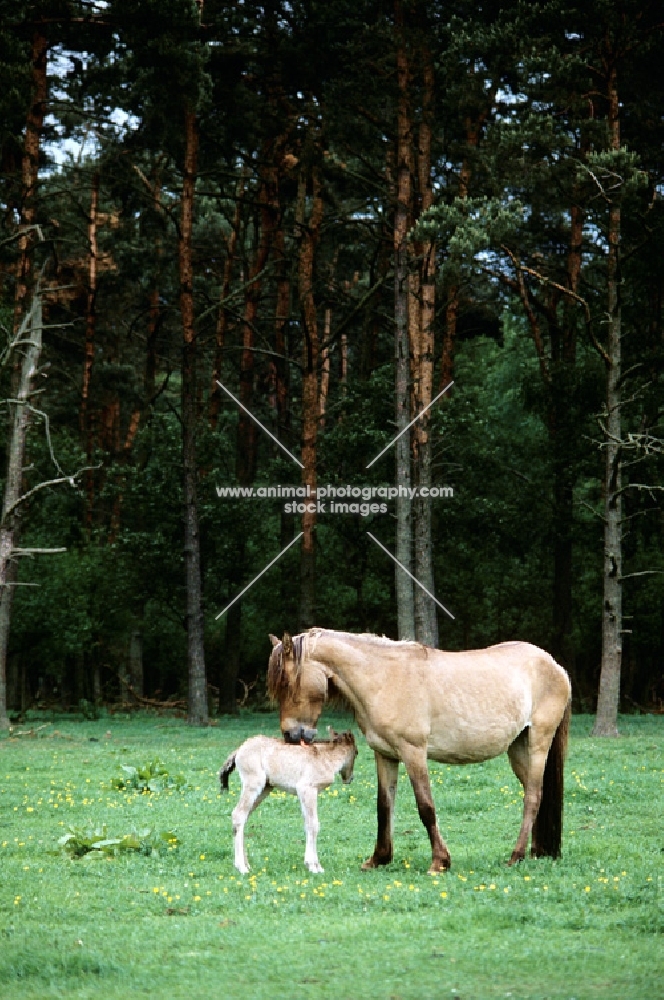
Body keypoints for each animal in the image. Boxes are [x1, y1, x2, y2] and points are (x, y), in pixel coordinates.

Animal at [219, 728, 358, 876]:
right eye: (356, 752)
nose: (349, 778)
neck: (325, 758)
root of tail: (239, 750)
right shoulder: (307, 789)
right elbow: (313, 825)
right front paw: (314, 866)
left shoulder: (303, 794)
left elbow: (307, 824)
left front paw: (312, 864)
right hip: (253, 784)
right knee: (238, 814)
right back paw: (241, 867)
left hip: (265, 789)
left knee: (244, 817)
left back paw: (247, 865)